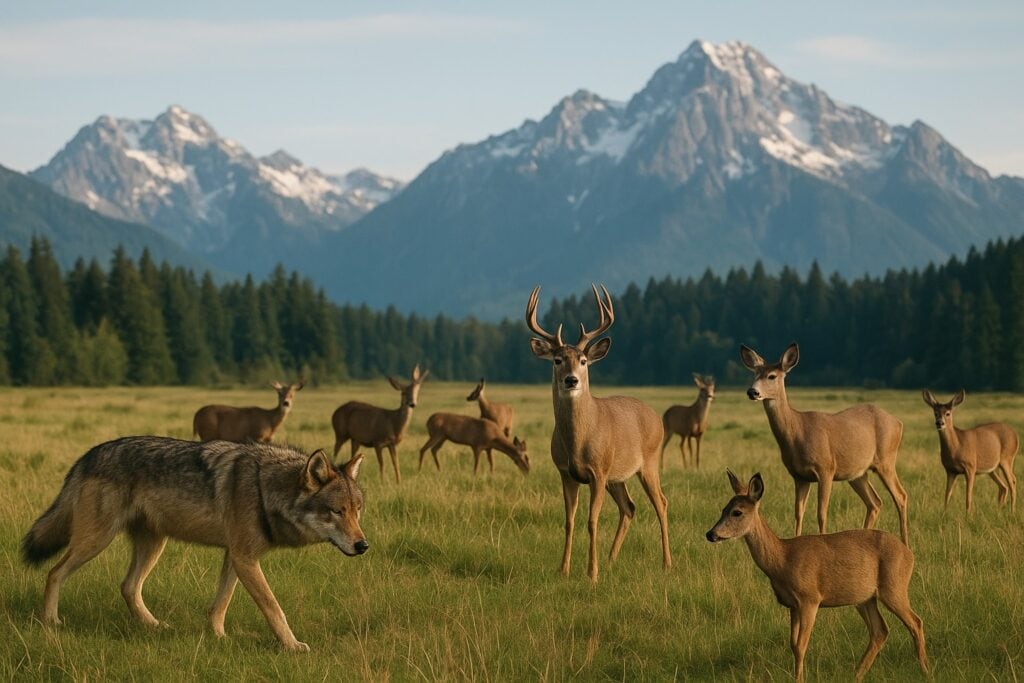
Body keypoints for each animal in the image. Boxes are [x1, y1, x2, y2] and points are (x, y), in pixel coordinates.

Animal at [22, 436, 367, 652]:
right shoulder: (245, 558)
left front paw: (218, 637)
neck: (265, 488)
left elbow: (220, 604)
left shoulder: (236, 556)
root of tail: (88, 454)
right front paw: (292, 645)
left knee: (128, 587)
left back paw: (154, 626)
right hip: (96, 541)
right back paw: (50, 621)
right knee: (54, 572)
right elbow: (273, 608)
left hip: (153, 545)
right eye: (337, 511)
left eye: (358, 510)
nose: (363, 546)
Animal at [527, 284, 670, 582]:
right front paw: (563, 570)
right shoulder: (566, 472)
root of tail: (656, 416)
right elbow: (569, 521)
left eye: (583, 360)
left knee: (661, 503)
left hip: (648, 463)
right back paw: (611, 560)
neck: (578, 441)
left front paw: (591, 574)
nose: (571, 380)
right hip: (617, 476)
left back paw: (666, 564)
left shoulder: (598, 471)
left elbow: (592, 521)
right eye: (557, 360)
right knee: (629, 507)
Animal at [706, 471, 929, 682]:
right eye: (723, 509)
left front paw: (799, 679)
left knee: (915, 622)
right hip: (864, 598)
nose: (710, 534)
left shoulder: (810, 599)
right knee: (880, 630)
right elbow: (792, 644)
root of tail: (909, 554)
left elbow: (801, 646)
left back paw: (925, 671)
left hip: (894, 587)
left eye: (737, 512)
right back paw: (856, 674)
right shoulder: (792, 605)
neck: (782, 560)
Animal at [741, 344, 910, 545]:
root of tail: (898, 423)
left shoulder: (826, 469)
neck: (797, 432)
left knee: (901, 496)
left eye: (772, 376)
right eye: (754, 374)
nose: (752, 392)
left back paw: (906, 544)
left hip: (886, 459)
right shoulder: (799, 476)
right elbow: (798, 513)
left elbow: (821, 513)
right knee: (875, 502)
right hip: (857, 473)